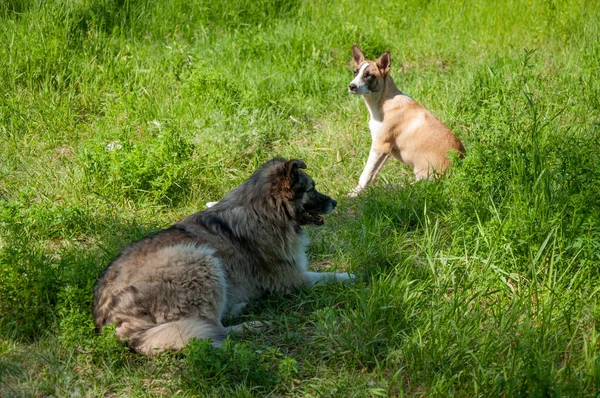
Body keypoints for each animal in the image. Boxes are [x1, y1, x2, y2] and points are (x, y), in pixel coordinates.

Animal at [93, 158, 354, 354]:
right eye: (311, 189)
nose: (335, 202)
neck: (265, 210)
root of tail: (116, 322)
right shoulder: (293, 278)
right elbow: (330, 276)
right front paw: (354, 275)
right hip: (199, 259)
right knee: (211, 329)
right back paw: (251, 325)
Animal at [346, 45, 464, 197]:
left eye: (368, 75)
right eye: (355, 72)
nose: (351, 86)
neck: (384, 101)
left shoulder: (380, 146)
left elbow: (365, 174)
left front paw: (355, 193)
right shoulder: (385, 150)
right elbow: (373, 173)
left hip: (427, 176)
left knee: (413, 187)